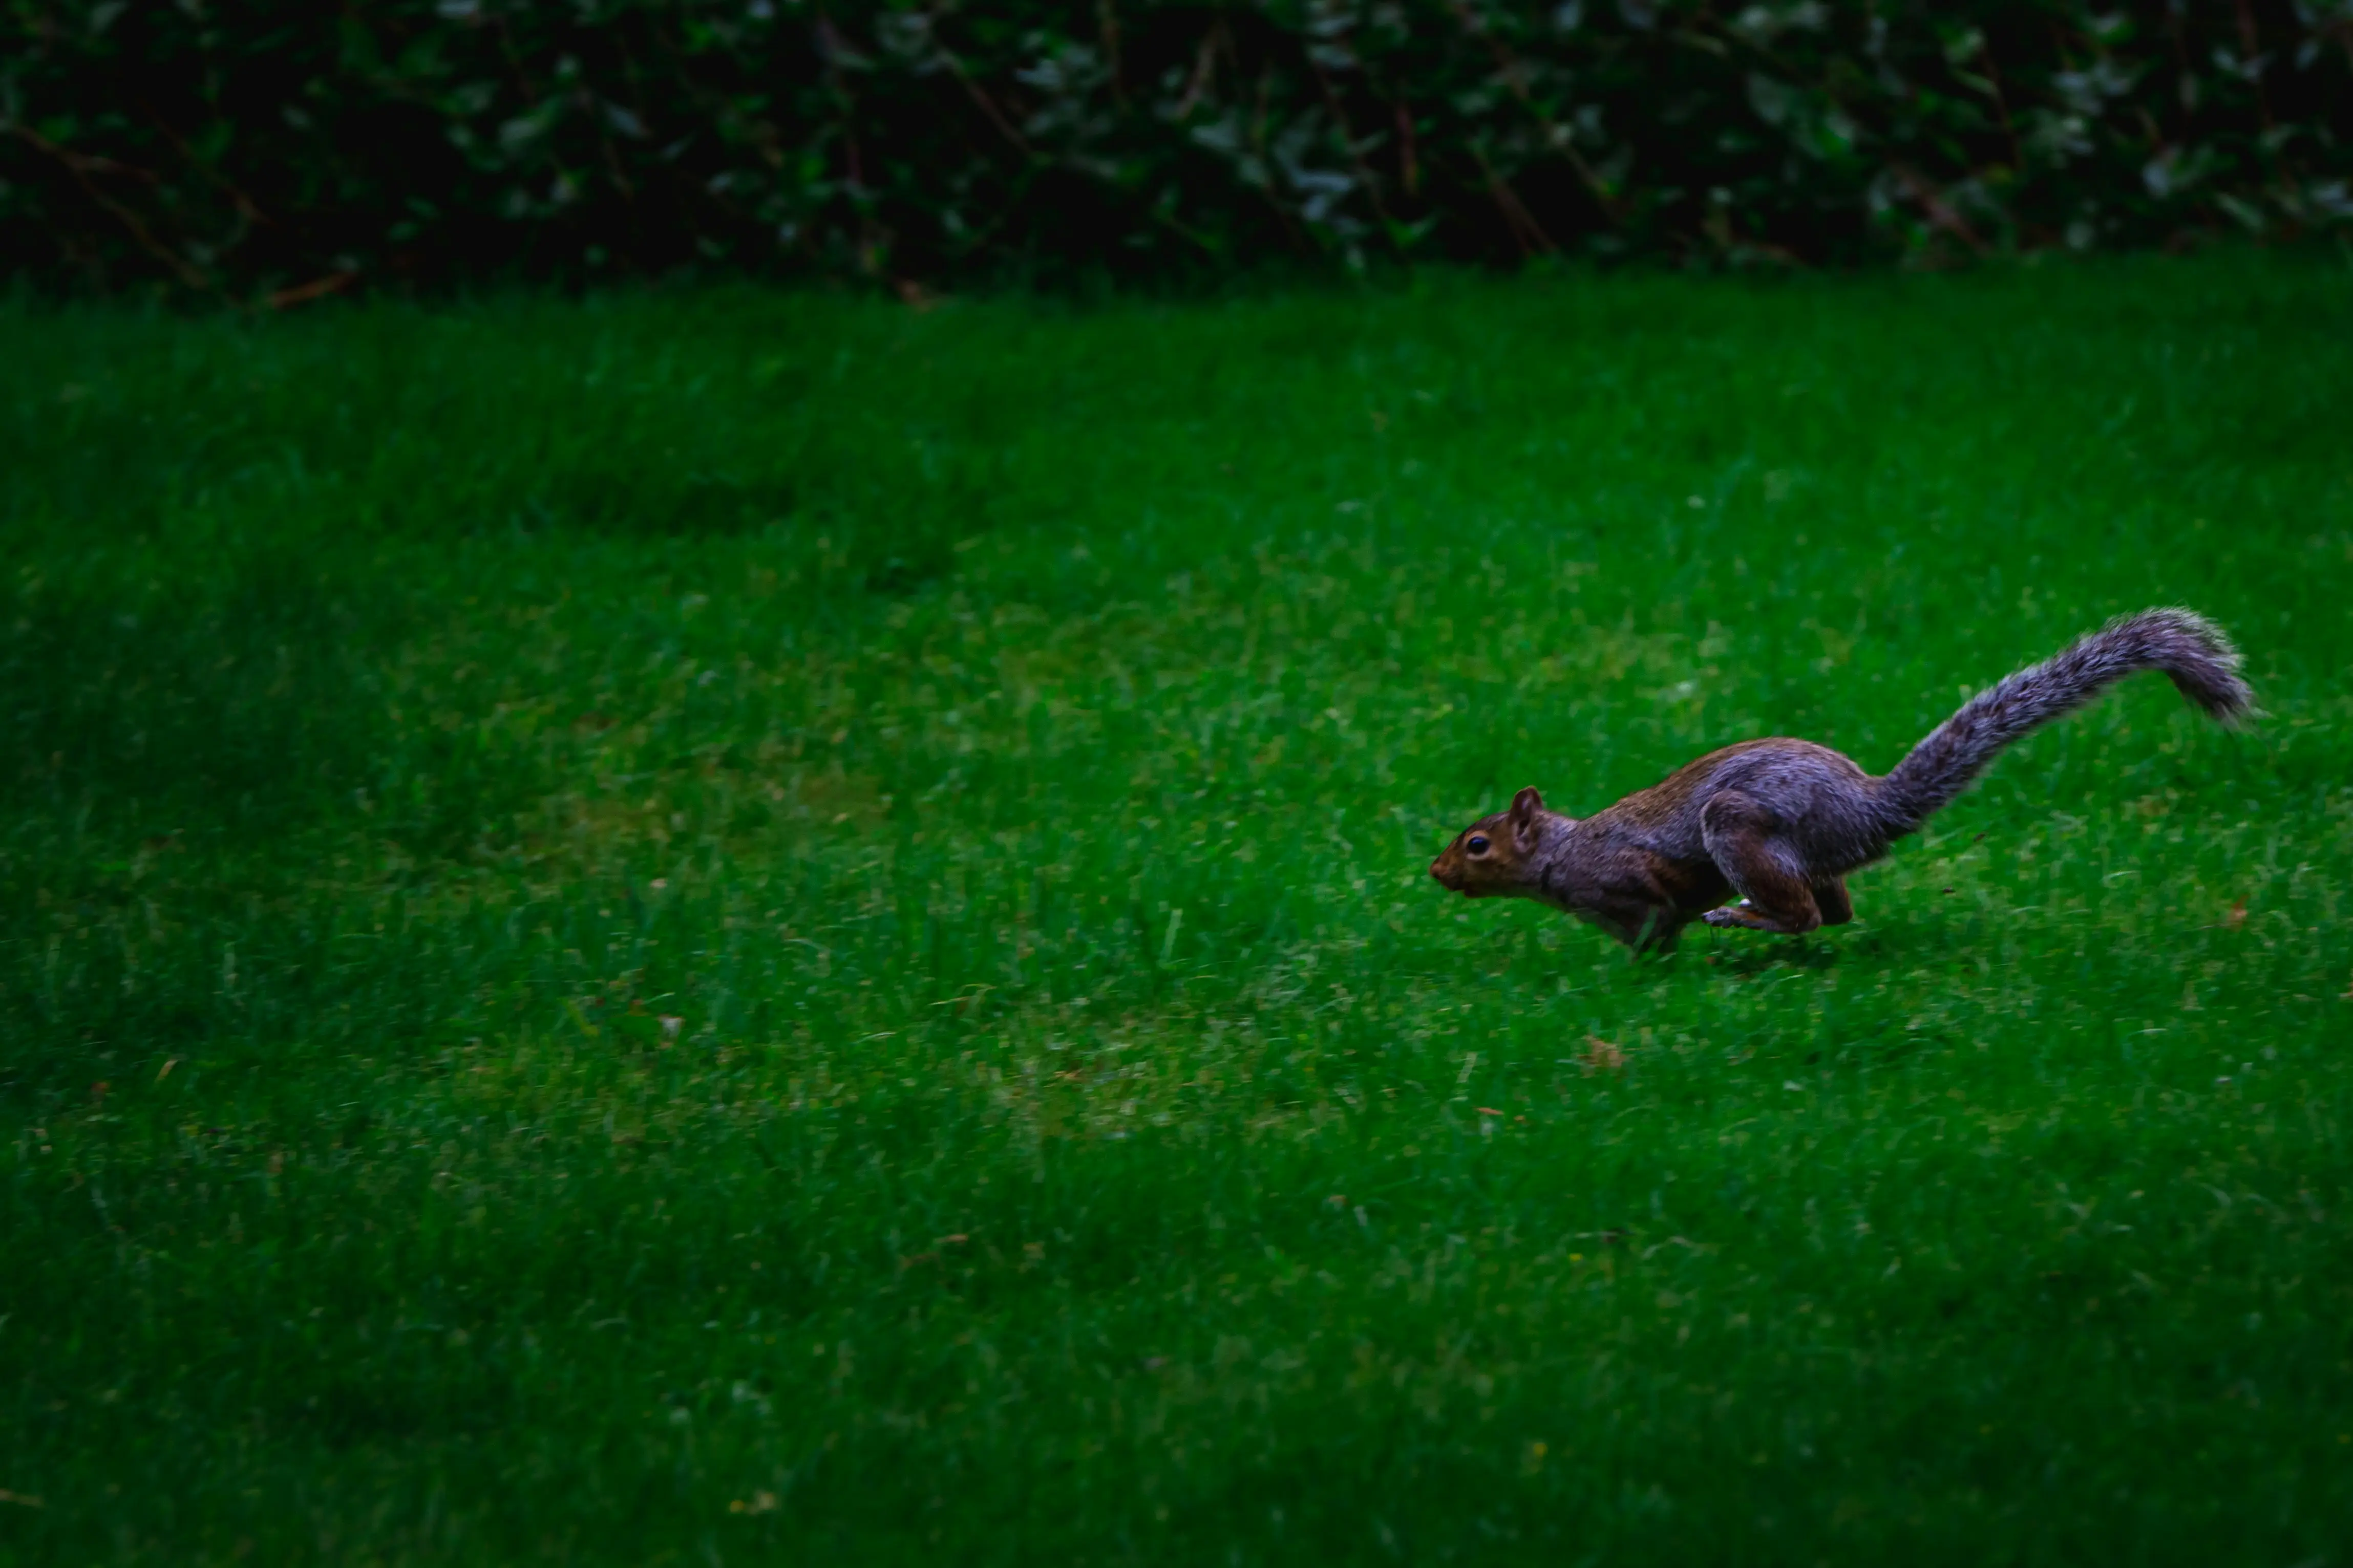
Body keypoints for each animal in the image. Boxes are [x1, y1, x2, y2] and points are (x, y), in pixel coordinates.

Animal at [1429, 608, 2252, 952]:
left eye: (1477, 844)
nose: (1434, 872)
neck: (1559, 856)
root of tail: (1868, 808)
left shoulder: (1626, 881)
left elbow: (1654, 920)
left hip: (1740, 827)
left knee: (1802, 915)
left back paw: (1743, 918)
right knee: (1836, 911)